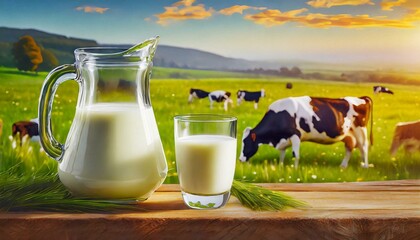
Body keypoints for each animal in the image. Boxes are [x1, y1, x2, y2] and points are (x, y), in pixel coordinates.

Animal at [240, 96, 374, 169]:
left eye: (246, 143)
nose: (240, 160)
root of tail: (362, 98)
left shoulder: (295, 135)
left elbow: (295, 155)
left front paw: (294, 170)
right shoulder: (283, 139)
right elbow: (282, 155)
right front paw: (280, 167)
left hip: (360, 130)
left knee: (364, 148)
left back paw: (365, 166)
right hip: (348, 135)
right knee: (349, 148)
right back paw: (343, 166)